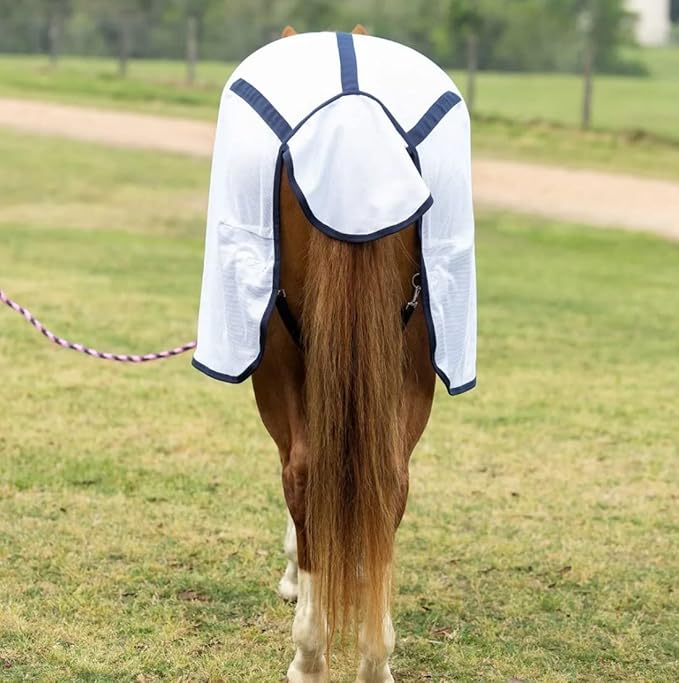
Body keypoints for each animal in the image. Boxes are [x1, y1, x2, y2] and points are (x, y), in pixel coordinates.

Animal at [192, 24, 476, 682]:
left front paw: (296, 579)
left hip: (280, 365)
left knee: (304, 473)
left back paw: (309, 655)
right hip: (408, 367)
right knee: (389, 481)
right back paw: (374, 659)